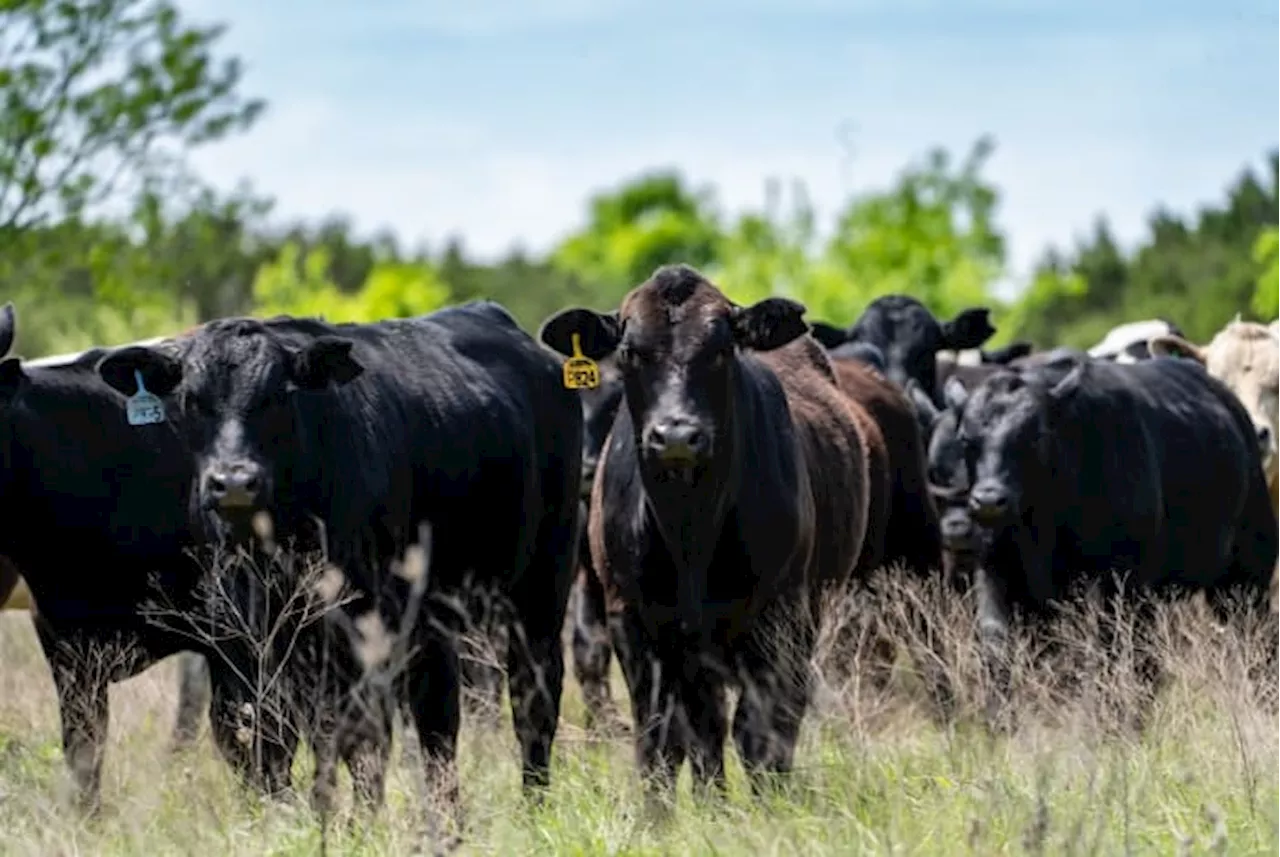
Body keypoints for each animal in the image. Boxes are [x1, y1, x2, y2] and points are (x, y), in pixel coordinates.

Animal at [97, 304, 583, 813]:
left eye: (277, 396)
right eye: (192, 401)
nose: (233, 482)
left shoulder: (357, 628)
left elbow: (357, 738)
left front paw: (354, 821)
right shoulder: (241, 641)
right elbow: (265, 738)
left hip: (541, 589)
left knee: (534, 700)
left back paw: (533, 804)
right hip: (433, 621)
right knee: (438, 720)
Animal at [535, 263, 875, 808]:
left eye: (720, 349)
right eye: (629, 351)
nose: (676, 435)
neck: (688, 528)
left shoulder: (778, 617)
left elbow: (758, 731)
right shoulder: (633, 620)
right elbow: (660, 735)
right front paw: (662, 816)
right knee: (703, 726)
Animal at [931, 355, 1280, 726]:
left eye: (1036, 436)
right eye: (967, 440)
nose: (989, 499)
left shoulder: (1118, 585)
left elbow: (1108, 655)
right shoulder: (995, 571)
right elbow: (996, 643)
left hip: (1244, 581)